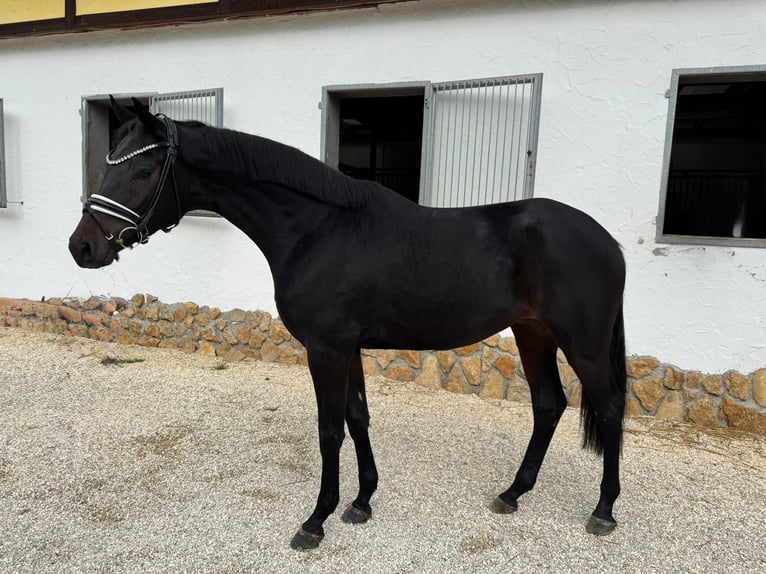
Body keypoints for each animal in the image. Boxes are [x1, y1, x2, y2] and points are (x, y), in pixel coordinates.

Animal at [69, 98, 627, 550]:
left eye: (143, 172)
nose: (82, 247)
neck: (318, 230)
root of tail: (608, 241)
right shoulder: (348, 349)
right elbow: (358, 419)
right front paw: (361, 502)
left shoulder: (327, 349)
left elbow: (329, 430)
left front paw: (316, 520)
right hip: (534, 334)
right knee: (549, 405)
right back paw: (513, 493)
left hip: (584, 344)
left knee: (610, 409)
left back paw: (603, 511)